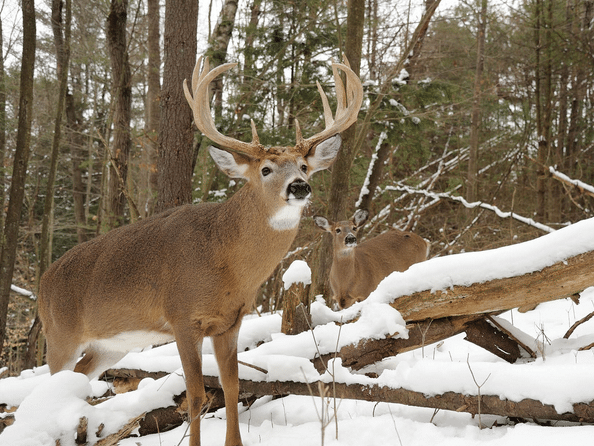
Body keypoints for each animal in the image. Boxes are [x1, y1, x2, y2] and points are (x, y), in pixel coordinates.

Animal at [39, 56, 360, 446]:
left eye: (303, 165)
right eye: (266, 169)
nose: (299, 186)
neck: (224, 259)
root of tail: (42, 282)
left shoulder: (230, 322)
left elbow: (231, 387)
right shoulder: (182, 317)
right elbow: (195, 395)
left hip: (109, 345)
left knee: (79, 381)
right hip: (60, 335)